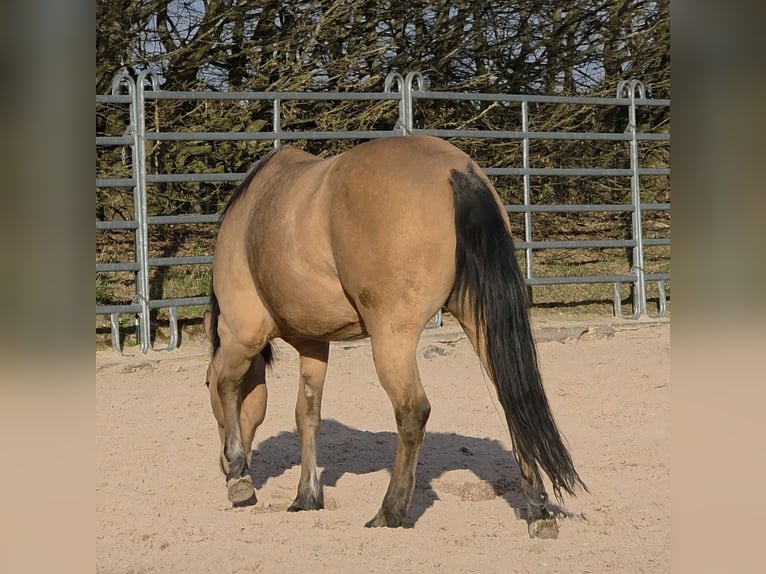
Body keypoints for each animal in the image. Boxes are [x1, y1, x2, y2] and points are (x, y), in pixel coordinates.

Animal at [202, 135, 586, 538]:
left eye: (204, 386)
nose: (221, 465)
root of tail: (456, 170)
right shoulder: (314, 344)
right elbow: (307, 415)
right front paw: (306, 496)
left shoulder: (242, 333)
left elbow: (229, 384)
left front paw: (238, 477)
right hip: (478, 321)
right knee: (514, 400)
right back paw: (538, 510)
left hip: (390, 338)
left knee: (412, 411)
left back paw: (390, 511)